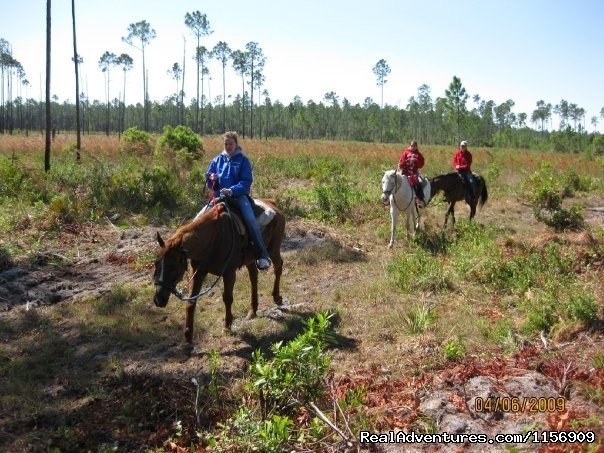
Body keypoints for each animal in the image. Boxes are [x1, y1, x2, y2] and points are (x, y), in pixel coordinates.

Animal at [156, 200, 288, 344]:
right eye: (156, 263)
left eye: (172, 266)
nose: (158, 300)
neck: (212, 241)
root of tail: (273, 204)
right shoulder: (198, 272)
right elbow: (191, 302)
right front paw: (188, 337)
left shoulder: (229, 273)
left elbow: (227, 299)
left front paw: (227, 326)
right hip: (250, 258)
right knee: (254, 276)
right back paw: (252, 310)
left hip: (273, 249)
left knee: (278, 267)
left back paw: (277, 297)